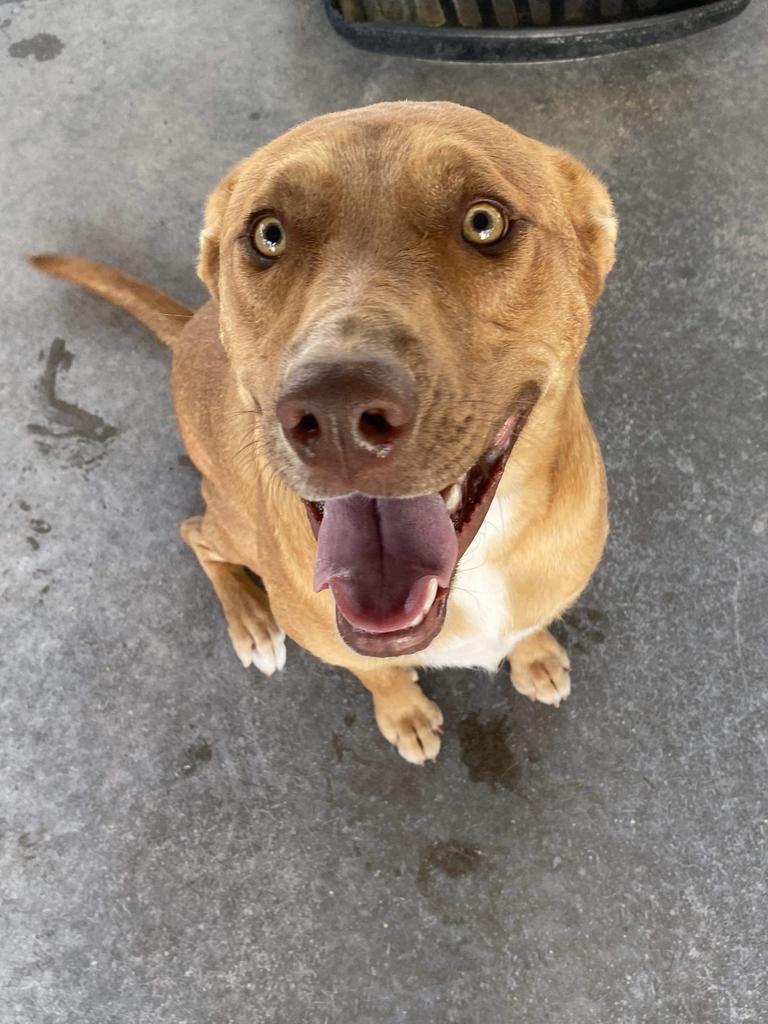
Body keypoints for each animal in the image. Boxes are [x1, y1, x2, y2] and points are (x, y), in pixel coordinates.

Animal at [31, 99, 618, 765]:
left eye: (484, 222)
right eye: (269, 235)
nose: (337, 412)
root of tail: (186, 330)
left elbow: (529, 625)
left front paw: (534, 654)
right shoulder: (344, 644)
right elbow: (378, 675)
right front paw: (404, 713)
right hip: (233, 528)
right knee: (194, 533)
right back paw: (251, 621)